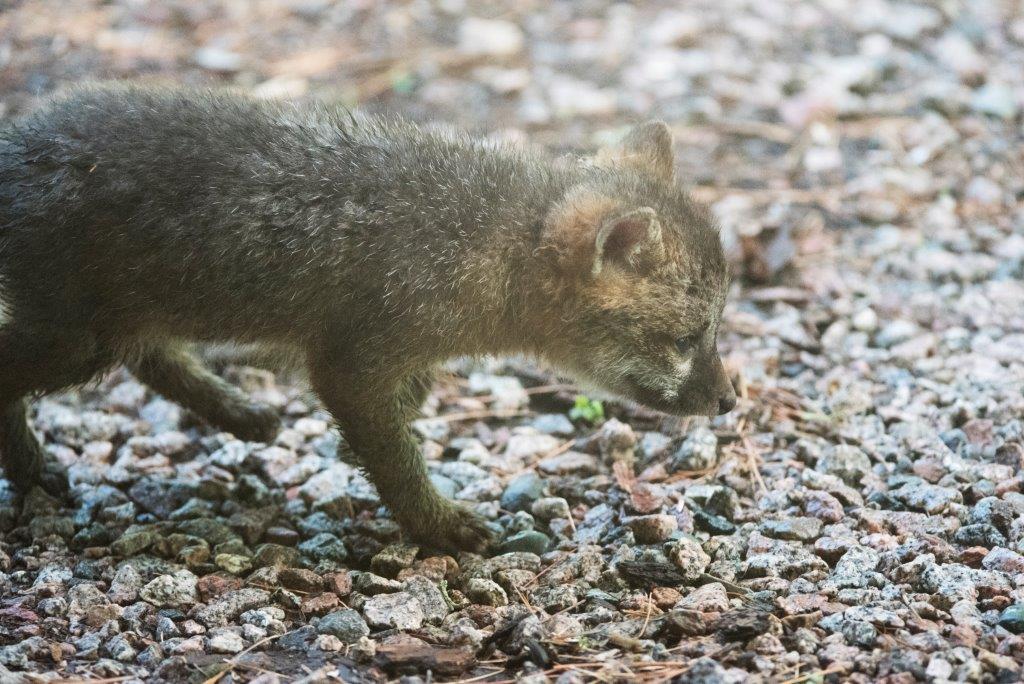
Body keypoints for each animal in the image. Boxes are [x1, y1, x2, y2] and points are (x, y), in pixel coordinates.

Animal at [0, 83, 735, 552]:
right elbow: (394, 457)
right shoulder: (347, 366)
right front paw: (439, 526)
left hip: (120, 320)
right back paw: (33, 467)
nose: (731, 401)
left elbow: (406, 412)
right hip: (78, 339)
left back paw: (241, 413)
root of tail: (15, 144)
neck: (491, 245)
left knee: (149, 354)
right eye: (685, 339)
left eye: (713, 329)